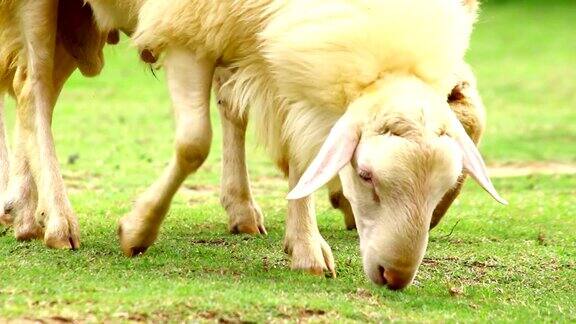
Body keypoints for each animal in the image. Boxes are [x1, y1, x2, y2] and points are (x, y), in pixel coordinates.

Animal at [127, 0, 508, 288]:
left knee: (231, 105)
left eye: (448, 182)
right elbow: (194, 143)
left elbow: (303, 152)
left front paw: (305, 247)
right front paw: (138, 230)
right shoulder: (186, 30)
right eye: (366, 175)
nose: (395, 276)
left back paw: (242, 209)